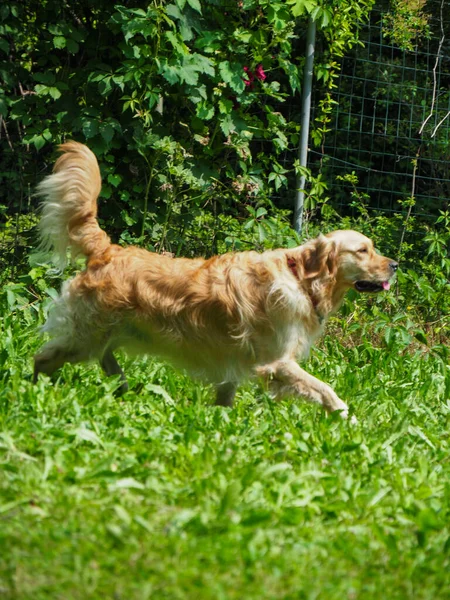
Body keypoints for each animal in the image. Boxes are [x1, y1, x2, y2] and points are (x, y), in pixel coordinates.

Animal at [32, 143, 398, 420]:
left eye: (372, 248)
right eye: (363, 250)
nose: (395, 265)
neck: (302, 279)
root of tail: (106, 249)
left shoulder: (236, 362)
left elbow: (226, 397)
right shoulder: (276, 363)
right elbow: (327, 390)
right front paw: (348, 418)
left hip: (107, 333)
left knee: (104, 359)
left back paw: (123, 388)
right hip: (86, 335)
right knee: (44, 358)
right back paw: (34, 391)